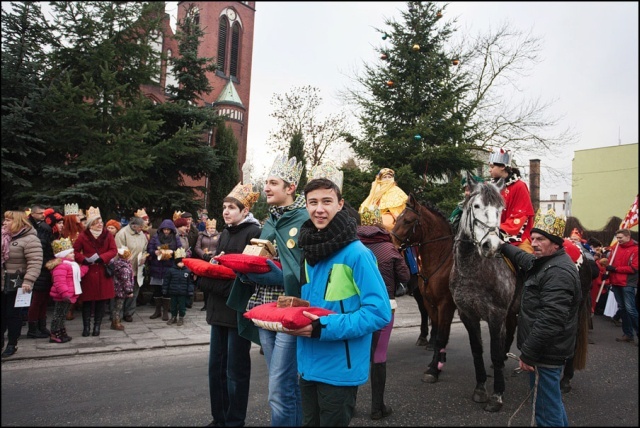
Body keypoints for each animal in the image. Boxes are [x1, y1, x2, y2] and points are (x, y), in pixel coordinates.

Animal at [388, 192, 458, 382]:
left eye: (407, 220)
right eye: (397, 218)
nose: (392, 243)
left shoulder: (445, 304)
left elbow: (442, 335)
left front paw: (434, 369)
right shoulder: (431, 301)